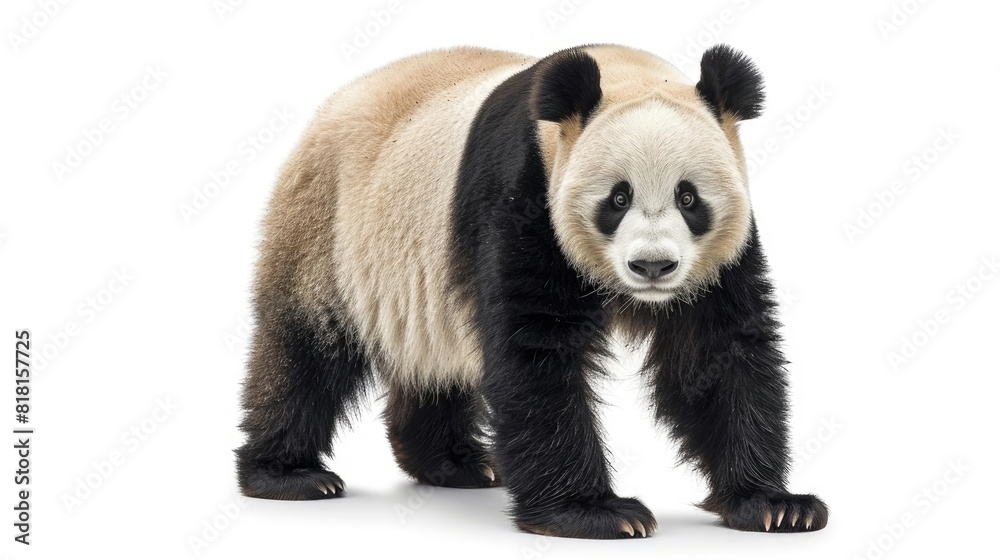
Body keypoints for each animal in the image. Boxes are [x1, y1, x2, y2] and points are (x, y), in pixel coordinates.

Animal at [236, 43, 828, 539]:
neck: (623, 73)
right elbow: (537, 350)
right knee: (306, 349)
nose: (653, 266)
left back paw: (455, 462)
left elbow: (716, 354)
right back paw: (289, 475)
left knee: (433, 360)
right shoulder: (522, 194)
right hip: (329, 222)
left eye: (689, 197)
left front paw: (774, 505)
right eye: (618, 198)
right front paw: (594, 513)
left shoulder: (723, 255)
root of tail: (335, 101)